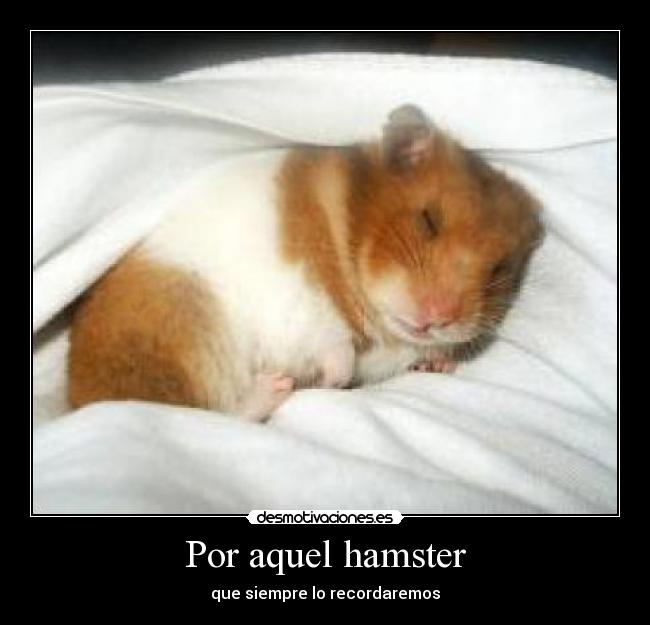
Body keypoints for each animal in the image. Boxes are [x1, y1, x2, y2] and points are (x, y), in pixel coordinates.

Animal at [68, 104, 544, 420]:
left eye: (502, 269)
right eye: (428, 220)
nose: (438, 319)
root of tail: (81, 399)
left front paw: (440, 362)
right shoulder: (303, 297)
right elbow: (335, 344)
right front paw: (334, 381)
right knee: (203, 414)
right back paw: (277, 387)